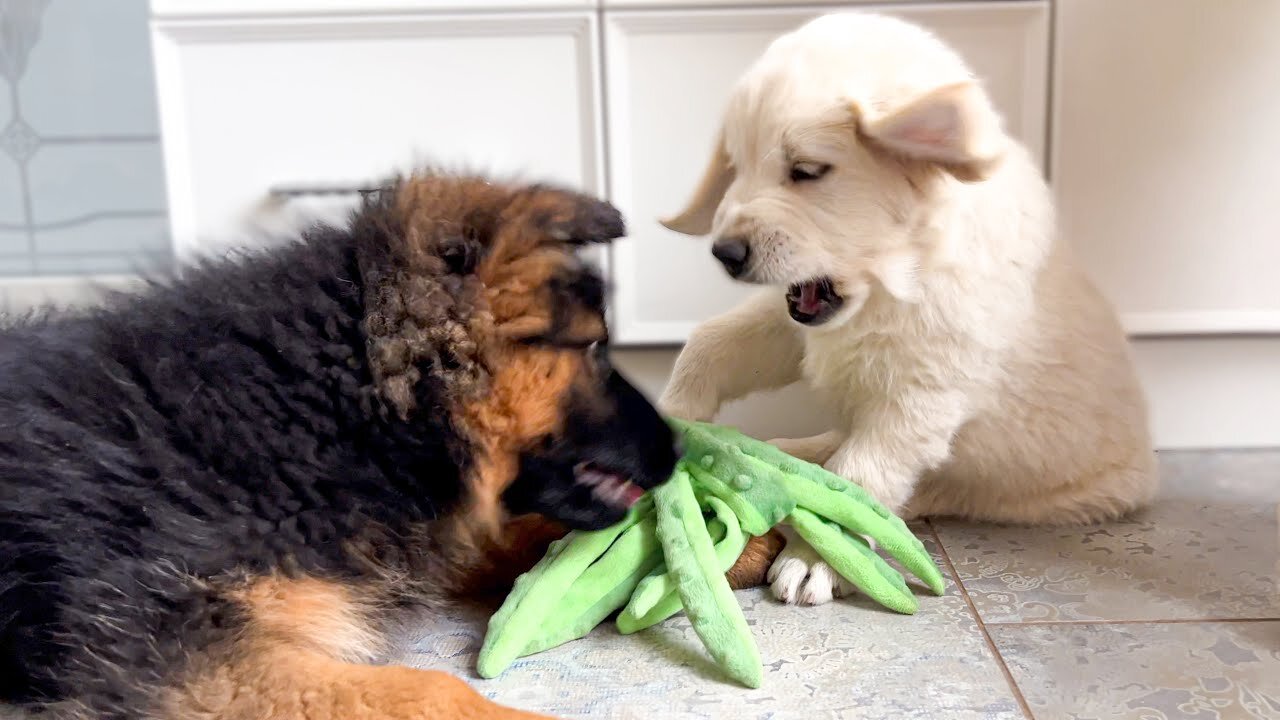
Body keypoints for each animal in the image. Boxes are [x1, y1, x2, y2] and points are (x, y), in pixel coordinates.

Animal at [660, 14, 1162, 602]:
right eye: (736, 168)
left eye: (807, 170)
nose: (725, 254)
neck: (894, 283)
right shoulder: (797, 326)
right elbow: (711, 341)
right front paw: (670, 413)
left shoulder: (917, 402)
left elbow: (859, 477)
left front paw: (815, 560)